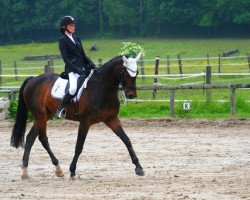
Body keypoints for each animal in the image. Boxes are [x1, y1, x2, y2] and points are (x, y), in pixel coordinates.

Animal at [10, 53, 145, 180]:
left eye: (136, 73)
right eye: (125, 73)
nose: (132, 95)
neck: (102, 88)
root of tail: (33, 79)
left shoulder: (111, 119)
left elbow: (127, 140)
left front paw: (139, 168)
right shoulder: (85, 121)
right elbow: (79, 146)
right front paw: (72, 171)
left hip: (45, 116)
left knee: (35, 138)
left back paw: (45, 170)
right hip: (40, 116)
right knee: (37, 138)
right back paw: (34, 171)